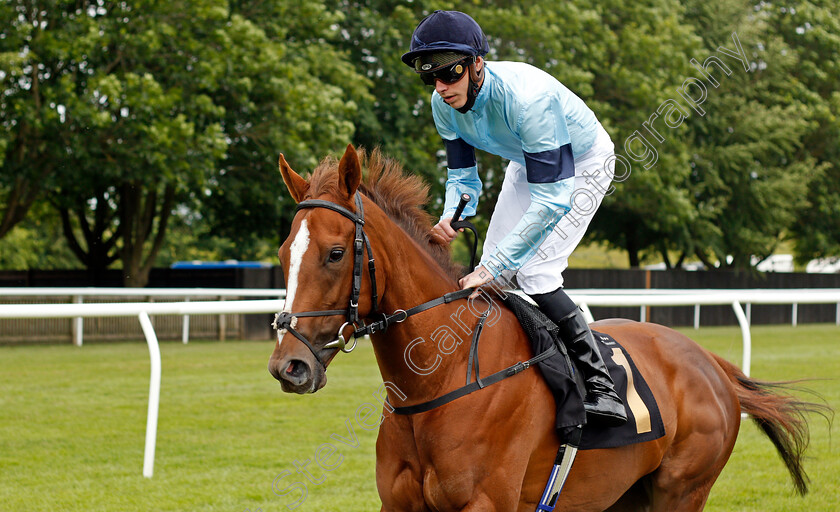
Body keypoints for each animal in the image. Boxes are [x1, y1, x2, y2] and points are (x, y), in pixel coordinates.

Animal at [268, 145, 812, 512]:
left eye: (336, 253)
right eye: (283, 253)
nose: (288, 366)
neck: (442, 379)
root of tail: (708, 361)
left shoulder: (487, 503)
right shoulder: (398, 503)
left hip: (682, 491)